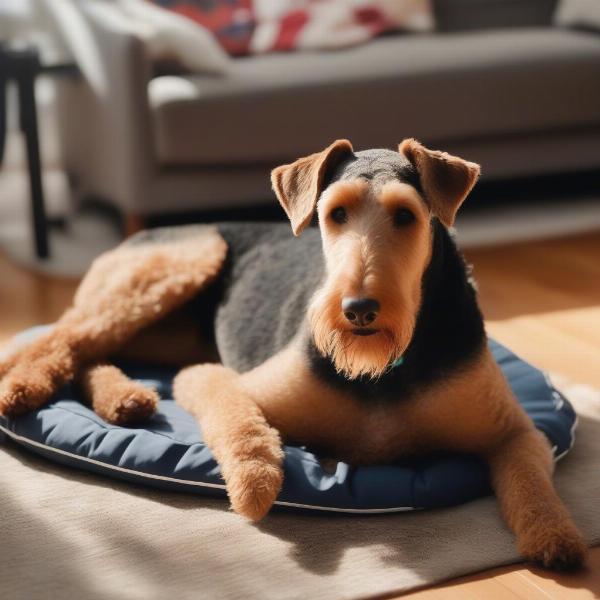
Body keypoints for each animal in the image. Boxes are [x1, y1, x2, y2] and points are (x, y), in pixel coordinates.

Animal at [0, 138, 584, 568]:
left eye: (405, 216)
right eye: (335, 213)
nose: (359, 310)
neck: (386, 370)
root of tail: (134, 236)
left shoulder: (513, 430)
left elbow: (531, 482)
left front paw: (556, 539)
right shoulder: (214, 378)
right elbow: (243, 427)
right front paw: (256, 487)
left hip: (163, 330)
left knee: (87, 351)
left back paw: (126, 400)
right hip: (173, 272)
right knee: (61, 338)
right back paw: (23, 388)